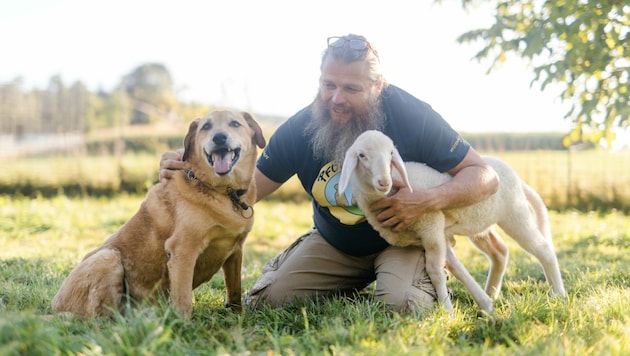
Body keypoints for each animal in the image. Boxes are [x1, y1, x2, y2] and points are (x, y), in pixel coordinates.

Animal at [50, 110, 266, 318]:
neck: (224, 193)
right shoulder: (182, 250)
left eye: (235, 124)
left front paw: (237, 317)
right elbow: (183, 299)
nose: (219, 137)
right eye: (206, 126)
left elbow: (235, 290)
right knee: (97, 319)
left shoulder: (235, 251)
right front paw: (183, 326)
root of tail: (56, 309)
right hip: (107, 258)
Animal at [340, 129, 568, 312]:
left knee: (543, 249)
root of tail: (518, 178)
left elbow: (436, 271)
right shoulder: (434, 236)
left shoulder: (431, 227)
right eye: (362, 155)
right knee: (500, 251)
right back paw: (492, 292)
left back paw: (559, 294)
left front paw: (447, 311)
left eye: (390, 154)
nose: (384, 182)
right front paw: (485, 304)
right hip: (480, 225)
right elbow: (455, 268)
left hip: (515, 213)